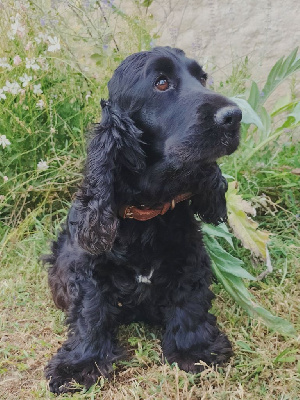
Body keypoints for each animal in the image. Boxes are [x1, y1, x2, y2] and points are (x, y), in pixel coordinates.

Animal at [44, 45, 241, 392]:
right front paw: (79, 365)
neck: (147, 212)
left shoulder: (189, 259)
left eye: (202, 78)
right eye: (161, 83)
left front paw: (194, 349)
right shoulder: (87, 269)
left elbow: (189, 301)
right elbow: (90, 314)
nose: (234, 116)